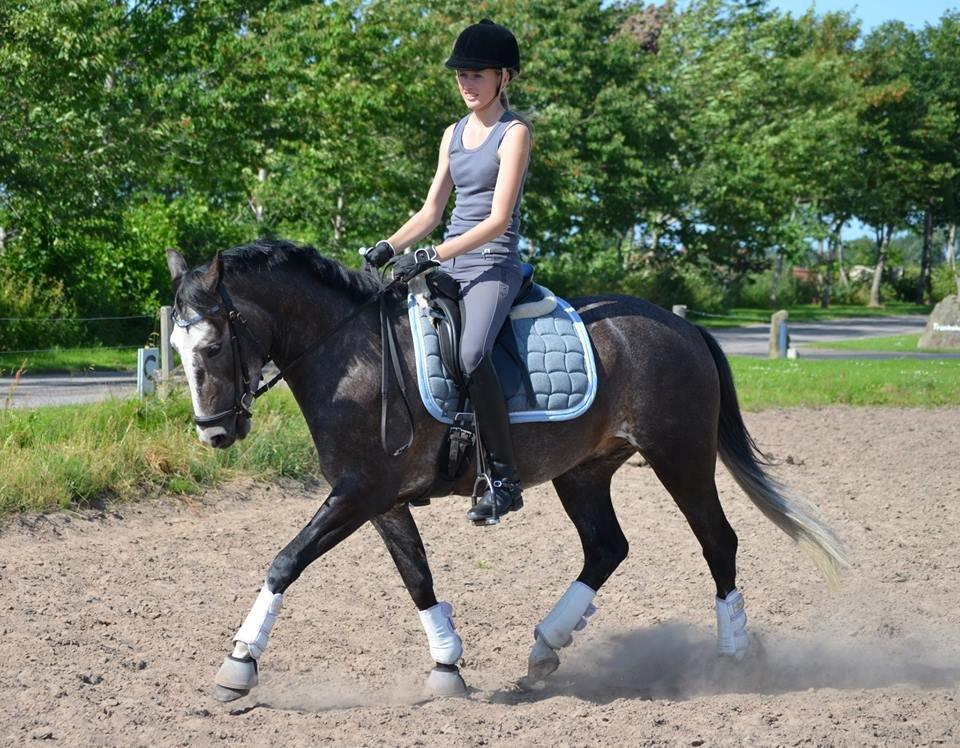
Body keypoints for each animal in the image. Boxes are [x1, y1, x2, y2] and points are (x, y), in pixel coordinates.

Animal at [165, 238, 848, 700]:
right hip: (584, 471)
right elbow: (417, 577)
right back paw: (544, 650)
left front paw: (239, 665)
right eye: (174, 347)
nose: (215, 432)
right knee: (607, 547)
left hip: (679, 457)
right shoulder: (379, 499)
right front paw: (446, 668)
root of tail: (683, 327)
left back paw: (733, 654)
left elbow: (286, 561)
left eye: (212, 345)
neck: (355, 355)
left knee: (717, 541)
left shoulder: (359, 493)